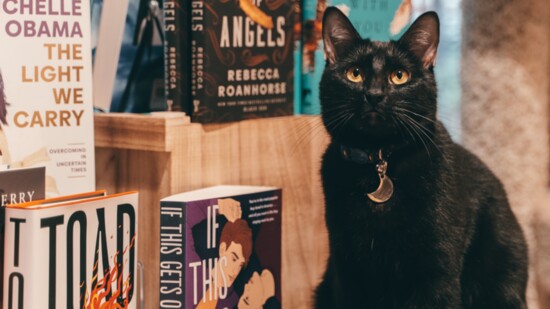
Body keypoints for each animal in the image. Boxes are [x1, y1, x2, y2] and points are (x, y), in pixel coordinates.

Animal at [316, 7, 532, 308]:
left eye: (399, 76)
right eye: (355, 74)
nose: (374, 95)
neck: (380, 163)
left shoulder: (436, 271)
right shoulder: (348, 272)